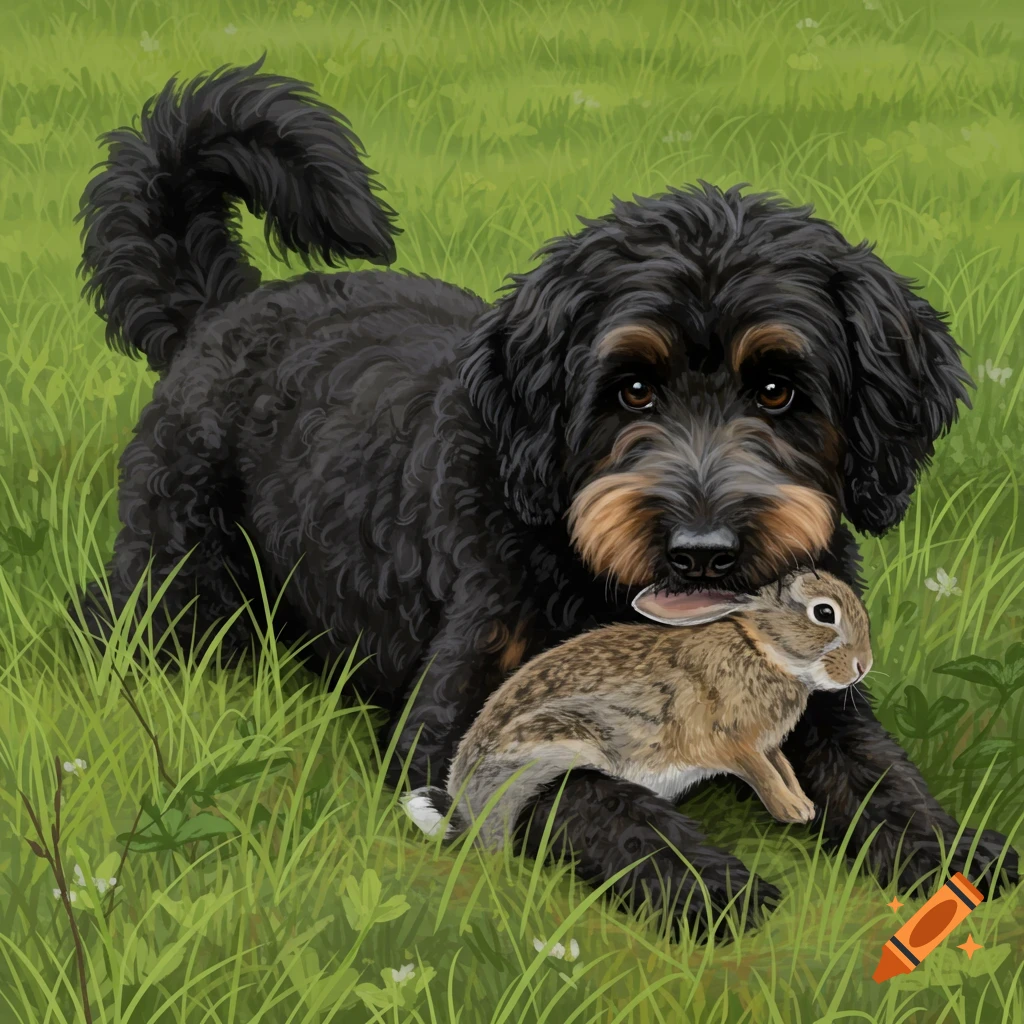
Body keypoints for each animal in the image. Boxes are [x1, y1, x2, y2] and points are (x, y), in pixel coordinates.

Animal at [401, 569, 873, 851]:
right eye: (824, 612)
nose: (863, 666)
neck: (764, 650)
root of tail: (463, 802)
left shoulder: (768, 744)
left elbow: (783, 768)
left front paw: (804, 807)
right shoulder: (729, 741)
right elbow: (761, 774)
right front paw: (790, 811)